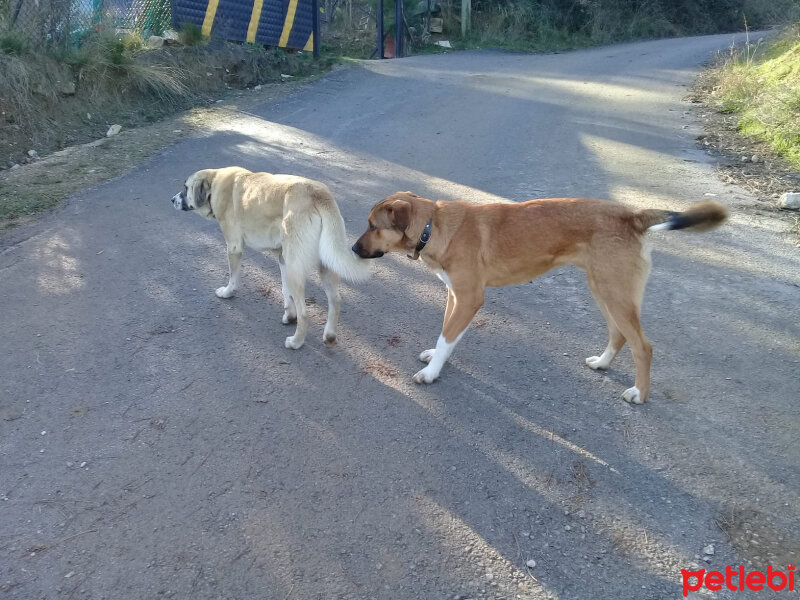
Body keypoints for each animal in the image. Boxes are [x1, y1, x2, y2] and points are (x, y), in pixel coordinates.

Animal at [173, 166, 370, 350]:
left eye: (185, 187)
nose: (172, 200)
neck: (215, 182)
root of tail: (317, 194)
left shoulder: (234, 247)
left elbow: (233, 277)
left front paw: (228, 292)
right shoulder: (282, 259)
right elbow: (285, 291)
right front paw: (289, 316)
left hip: (295, 269)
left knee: (305, 313)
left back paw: (296, 342)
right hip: (322, 265)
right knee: (335, 300)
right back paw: (329, 335)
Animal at [354, 192, 728, 404]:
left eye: (372, 226)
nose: (353, 249)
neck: (435, 226)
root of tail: (631, 215)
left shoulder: (470, 298)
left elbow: (448, 336)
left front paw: (431, 373)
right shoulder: (454, 295)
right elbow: (446, 333)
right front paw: (435, 358)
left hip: (615, 293)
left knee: (643, 347)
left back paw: (639, 394)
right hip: (603, 290)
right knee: (619, 335)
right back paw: (602, 363)